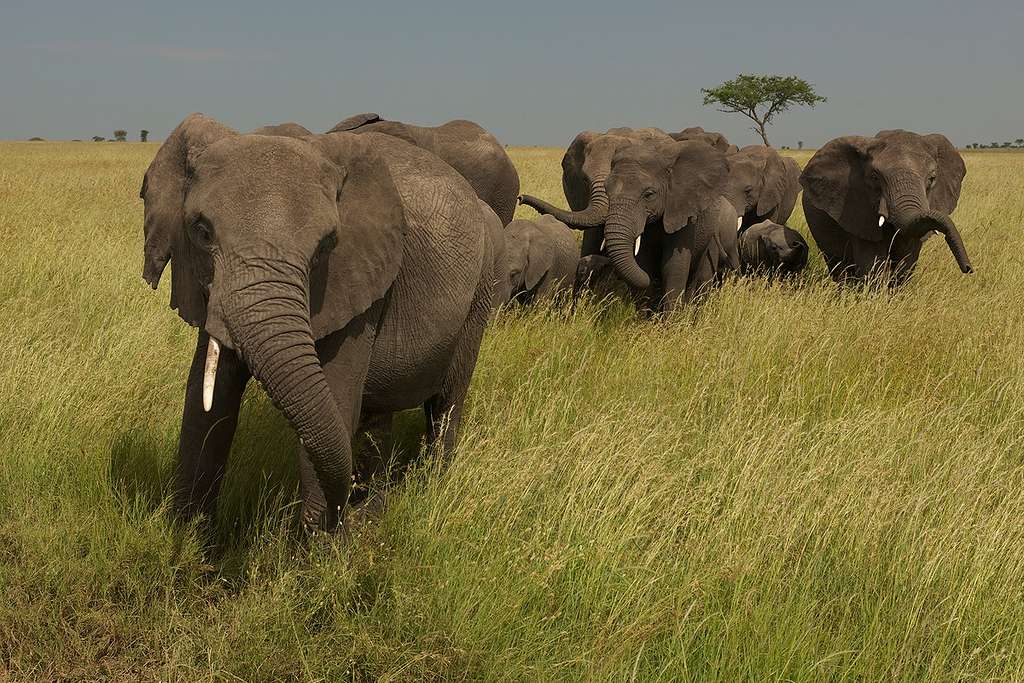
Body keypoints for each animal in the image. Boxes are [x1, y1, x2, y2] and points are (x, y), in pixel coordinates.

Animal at [794, 129, 970, 286]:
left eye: (932, 178)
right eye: (875, 177)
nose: (968, 268)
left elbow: (906, 260)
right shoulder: (857, 208)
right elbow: (873, 264)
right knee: (838, 264)